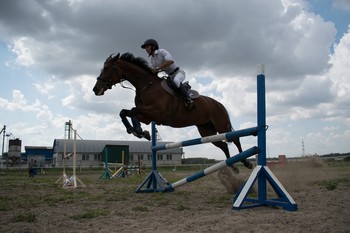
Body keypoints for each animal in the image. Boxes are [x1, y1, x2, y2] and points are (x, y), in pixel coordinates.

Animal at [92, 52, 252, 169]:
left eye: (106, 68)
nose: (95, 89)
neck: (146, 85)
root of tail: (219, 104)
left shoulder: (157, 112)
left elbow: (131, 111)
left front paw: (139, 131)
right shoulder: (147, 116)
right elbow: (124, 112)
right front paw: (139, 132)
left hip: (221, 125)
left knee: (235, 138)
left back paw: (246, 162)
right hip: (206, 130)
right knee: (223, 144)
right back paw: (232, 165)